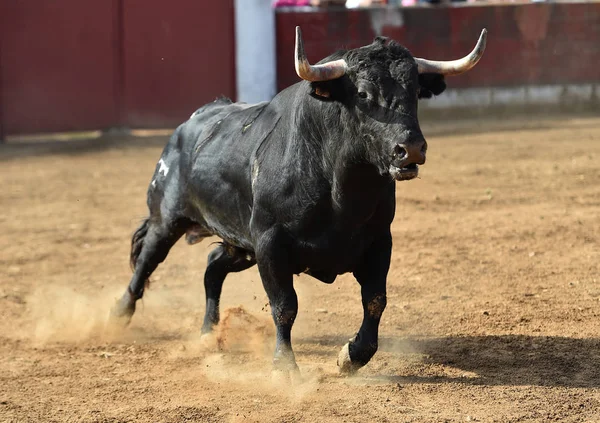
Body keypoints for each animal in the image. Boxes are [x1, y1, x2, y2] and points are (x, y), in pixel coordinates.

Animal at [112, 26, 488, 376]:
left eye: (414, 92)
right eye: (363, 93)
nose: (410, 149)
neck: (342, 194)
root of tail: (189, 123)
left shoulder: (380, 241)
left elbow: (375, 300)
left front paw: (352, 356)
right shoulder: (270, 245)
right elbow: (284, 306)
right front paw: (285, 367)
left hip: (242, 245)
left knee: (212, 266)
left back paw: (208, 333)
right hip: (168, 220)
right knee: (147, 261)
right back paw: (118, 314)